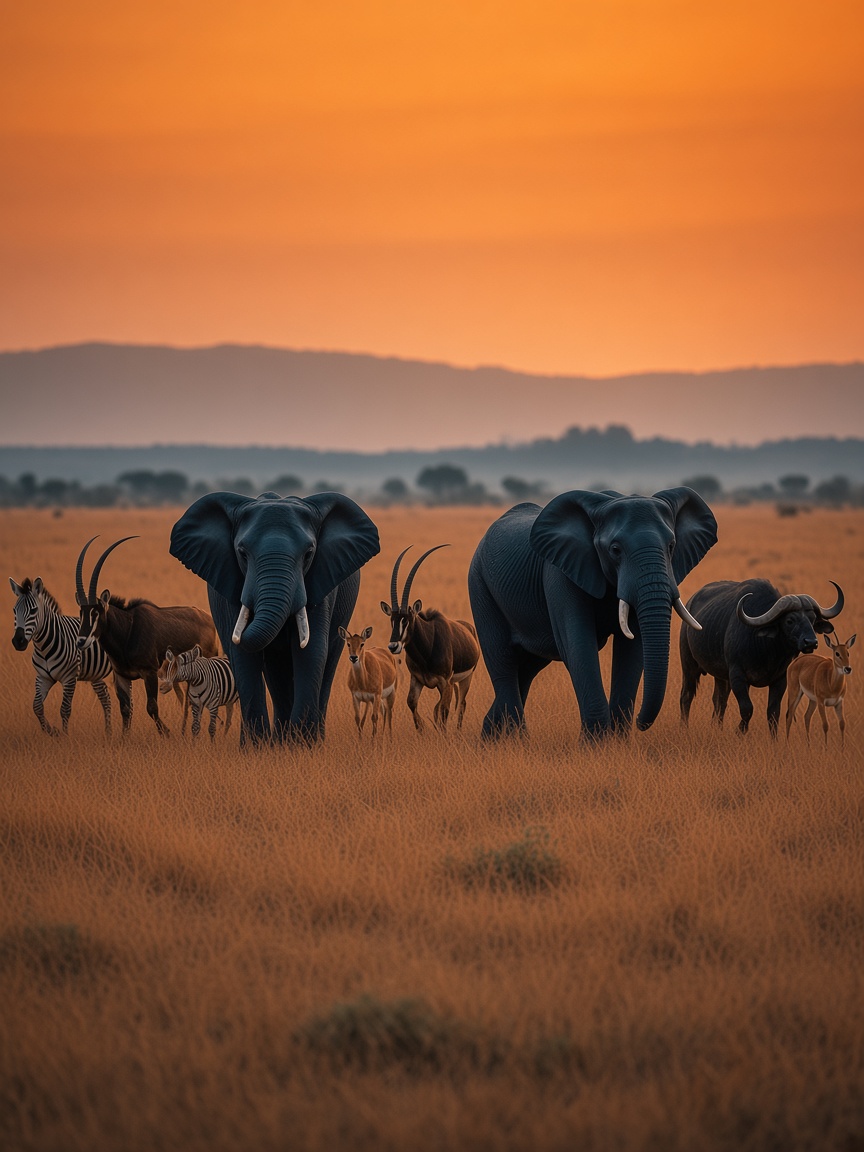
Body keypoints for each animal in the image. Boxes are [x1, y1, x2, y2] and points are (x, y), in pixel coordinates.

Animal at [10, 576, 116, 735]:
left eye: (34, 610)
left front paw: (64, 737)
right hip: (95, 673)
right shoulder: (43, 677)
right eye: (14, 610)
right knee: (105, 697)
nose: (18, 641)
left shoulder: (70, 677)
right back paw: (108, 733)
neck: (44, 647)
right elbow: (37, 706)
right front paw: (52, 731)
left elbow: (65, 710)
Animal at [75, 536, 220, 735]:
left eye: (96, 612)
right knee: (187, 701)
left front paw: (167, 734)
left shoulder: (149, 672)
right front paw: (124, 738)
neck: (127, 631)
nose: (81, 641)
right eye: (81, 612)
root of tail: (209, 619)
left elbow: (151, 707)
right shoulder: (121, 675)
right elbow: (125, 709)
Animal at [169, 490, 380, 744]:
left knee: (328, 661)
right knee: (276, 673)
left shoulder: (321, 581)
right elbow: (243, 656)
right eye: (242, 553)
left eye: (309, 554)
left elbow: (311, 651)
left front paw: (301, 747)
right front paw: (256, 748)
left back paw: (306, 740)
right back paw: (279, 741)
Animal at [381, 545, 480, 732]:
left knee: (461, 704)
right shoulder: (417, 679)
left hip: (466, 678)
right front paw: (422, 729)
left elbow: (443, 711)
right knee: (454, 703)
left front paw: (441, 733)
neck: (427, 650)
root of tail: (469, 629)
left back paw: (457, 731)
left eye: (407, 619)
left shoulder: (444, 682)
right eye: (392, 619)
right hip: (454, 682)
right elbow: (412, 703)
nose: (393, 646)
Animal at [467, 487, 718, 738]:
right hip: (480, 585)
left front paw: (617, 742)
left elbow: (632, 648)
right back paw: (518, 741)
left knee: (527, 668)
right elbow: (578, 645)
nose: (640, 721)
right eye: (615, 550)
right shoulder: (560, 571)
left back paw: (492, 739)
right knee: (503, 662)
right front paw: (595, 744)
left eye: (672, 546)